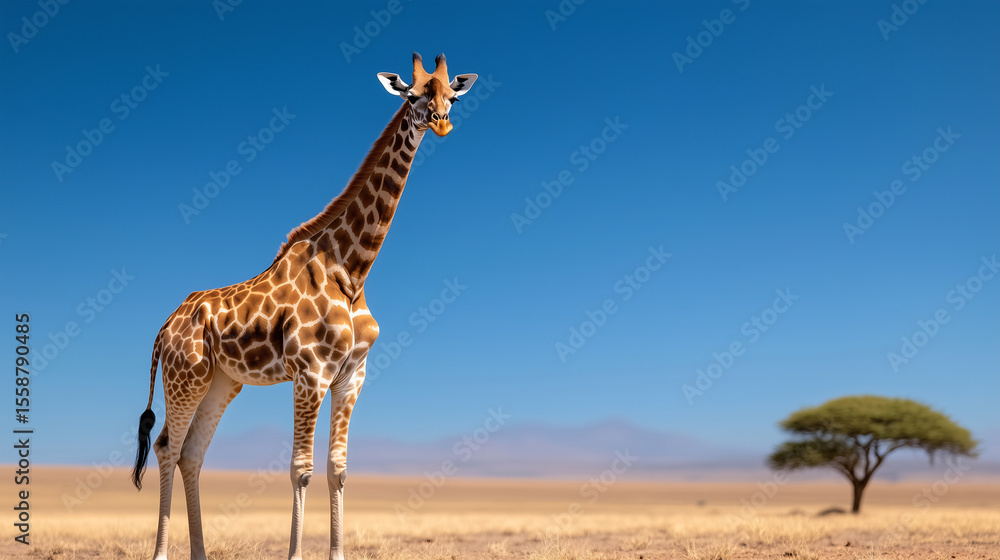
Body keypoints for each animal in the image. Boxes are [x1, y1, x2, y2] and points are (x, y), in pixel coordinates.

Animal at [130, 53, 477, 560]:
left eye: (452, 95)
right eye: (412, 95)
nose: (442, 122)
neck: (352, 270)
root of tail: (163, 329)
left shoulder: (352, 376)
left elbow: (337, 468)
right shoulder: (310, 373)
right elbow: (301, 469)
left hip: (222, 381)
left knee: (192, 452)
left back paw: (200, 553)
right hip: (185, 376)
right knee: (167, 448)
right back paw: (161, 553)